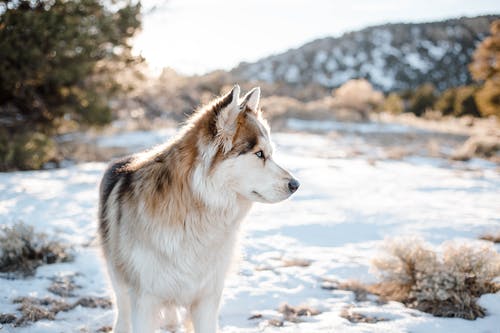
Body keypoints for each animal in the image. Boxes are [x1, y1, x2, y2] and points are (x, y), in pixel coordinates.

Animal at [99, 85, 298, 332]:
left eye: (270, 153)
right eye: (259, 154)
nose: (296, 184)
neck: (195, 214)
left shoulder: (207, 300)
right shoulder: (144, 301)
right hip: (121, 284)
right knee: (122, 312)